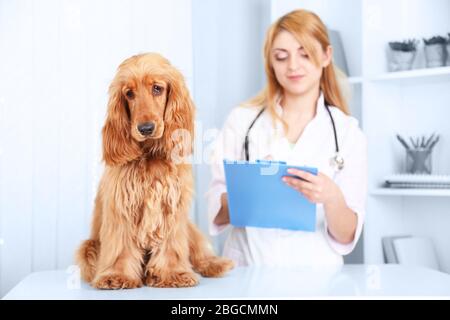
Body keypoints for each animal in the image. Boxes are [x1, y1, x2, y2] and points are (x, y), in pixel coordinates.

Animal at [75, 53, 234, 290]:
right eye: (129, 94)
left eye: (157, 89)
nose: (146, 129)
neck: (151, 157)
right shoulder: (122, 208)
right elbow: (121, 247)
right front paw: (117, 275)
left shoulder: (171, 209)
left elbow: (171, 247)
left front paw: (173, 273)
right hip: (89, 247)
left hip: (189, 227)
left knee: (199, 252)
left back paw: (215, 264)